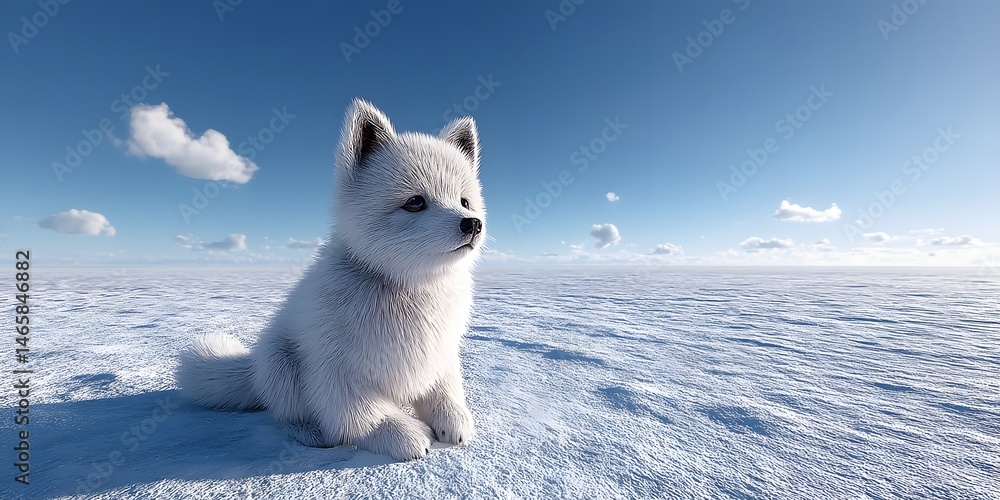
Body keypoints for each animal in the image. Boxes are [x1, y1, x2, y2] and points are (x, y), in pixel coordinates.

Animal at [176, 99, 485, 461]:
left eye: (464, 201)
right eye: (415, 202)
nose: (472, 223)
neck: (410, 288)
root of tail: (253, 370)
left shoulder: (440, 352)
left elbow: (445, 391)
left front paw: (453, 420)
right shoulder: (336, 370)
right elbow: (361, 415)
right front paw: (400, 436)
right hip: (281, 362)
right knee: (287, 412)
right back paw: (309, 432)